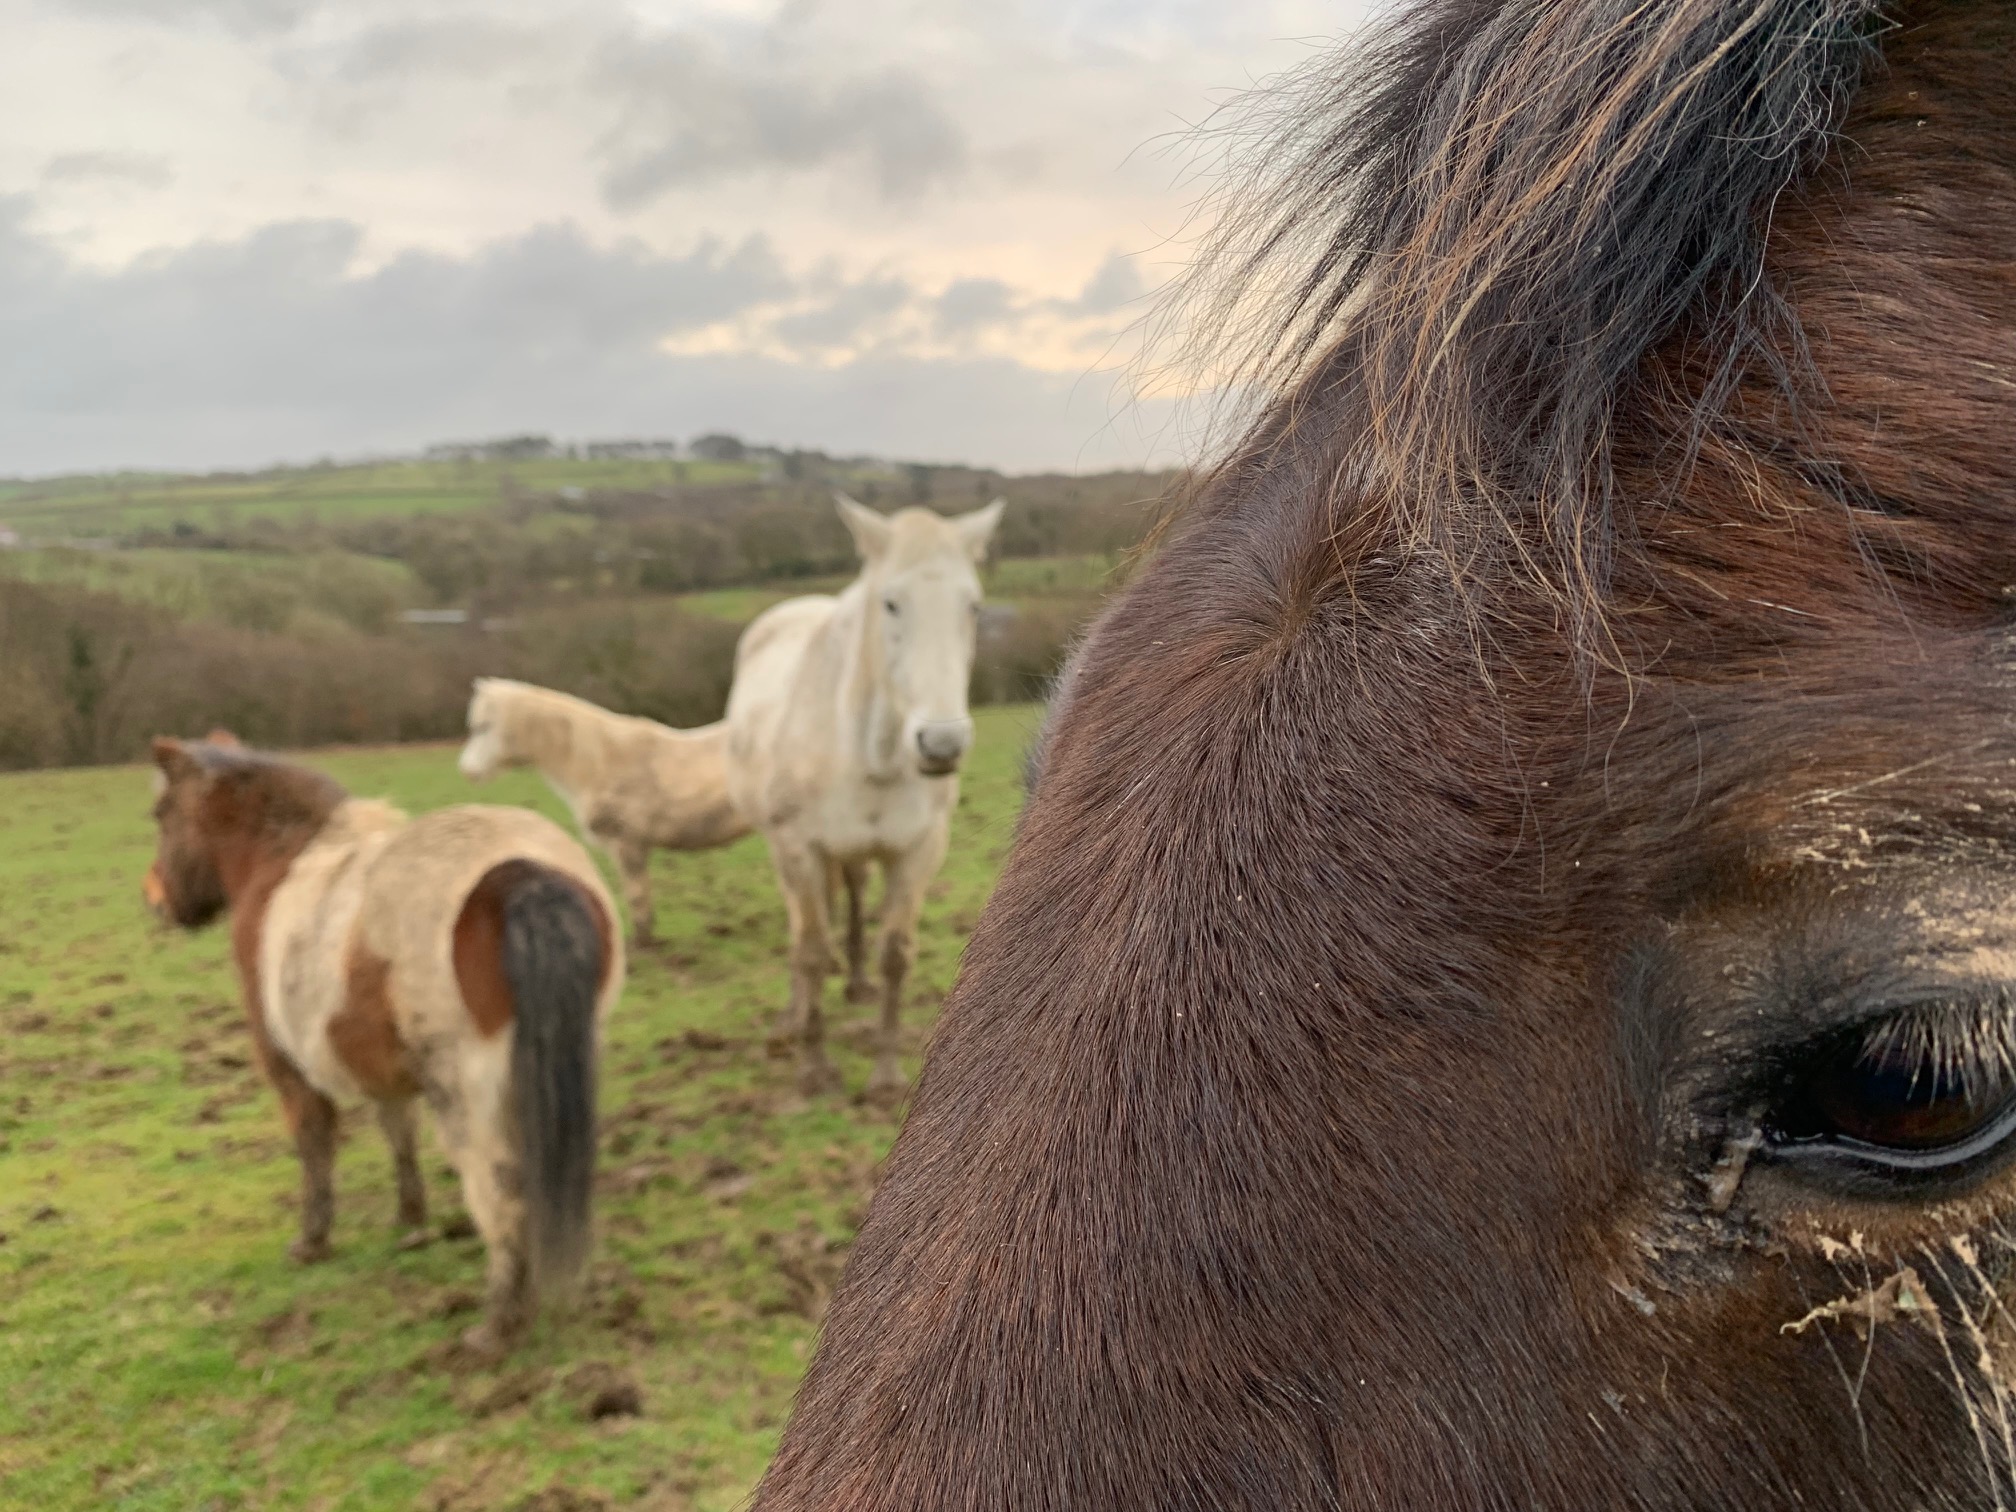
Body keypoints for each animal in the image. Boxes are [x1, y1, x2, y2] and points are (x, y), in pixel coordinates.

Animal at [146, 733, 620, 1362]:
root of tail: (523, 874)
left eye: (161, 813)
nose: (156, 899)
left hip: (465, 1095)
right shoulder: (381, 1069)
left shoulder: (290, 1069)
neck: (282, 862)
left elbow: (315, 1147)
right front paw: (412, 1223)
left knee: (499, 1191)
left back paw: (498, 1325)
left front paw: (312, 1242)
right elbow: (399, 1134)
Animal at [729, 497, 1003, 1104]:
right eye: (891, 604)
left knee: (851, 897)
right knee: (803, 925)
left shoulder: (916, 851)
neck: (867, 751)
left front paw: (885, 1076)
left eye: (973, 606)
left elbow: (895, 955)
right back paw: (794, 1015)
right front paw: (814, 1070)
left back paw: (853, 982)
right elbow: (809, 949)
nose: (941, 744)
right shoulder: (800, 848)